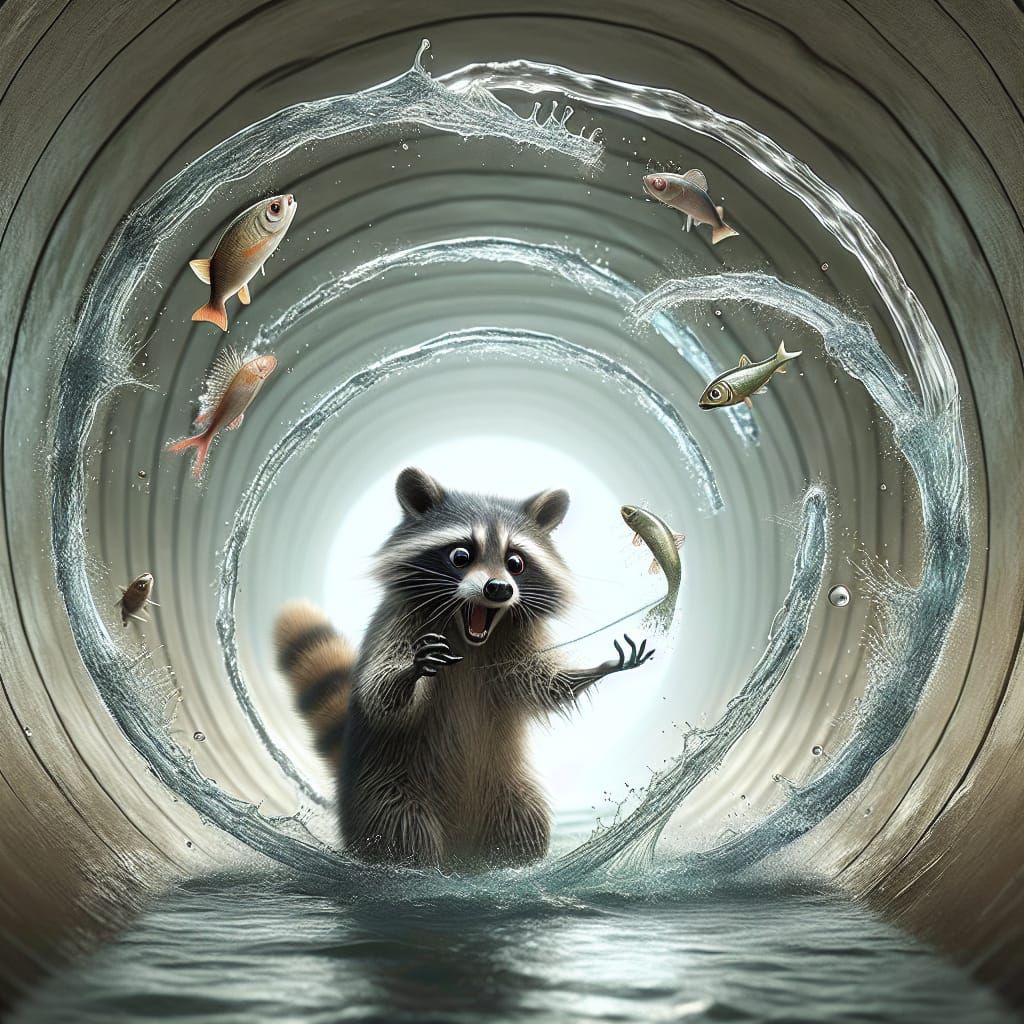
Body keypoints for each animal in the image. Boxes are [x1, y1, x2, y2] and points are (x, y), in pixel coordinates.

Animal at [273, 467, 654, 869]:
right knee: (403, 831)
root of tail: (461, 851)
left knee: (525, 819)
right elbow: (380, 692)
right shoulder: (398, 623)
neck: (469, 637)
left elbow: (538, 682)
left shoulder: (515, 643)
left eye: (515, 562)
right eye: (461, 555)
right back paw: (412, 868)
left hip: (508, 787)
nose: (499, 589)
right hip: (387, 792)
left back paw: (511, 864)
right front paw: (410, 672)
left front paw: (599, 668)